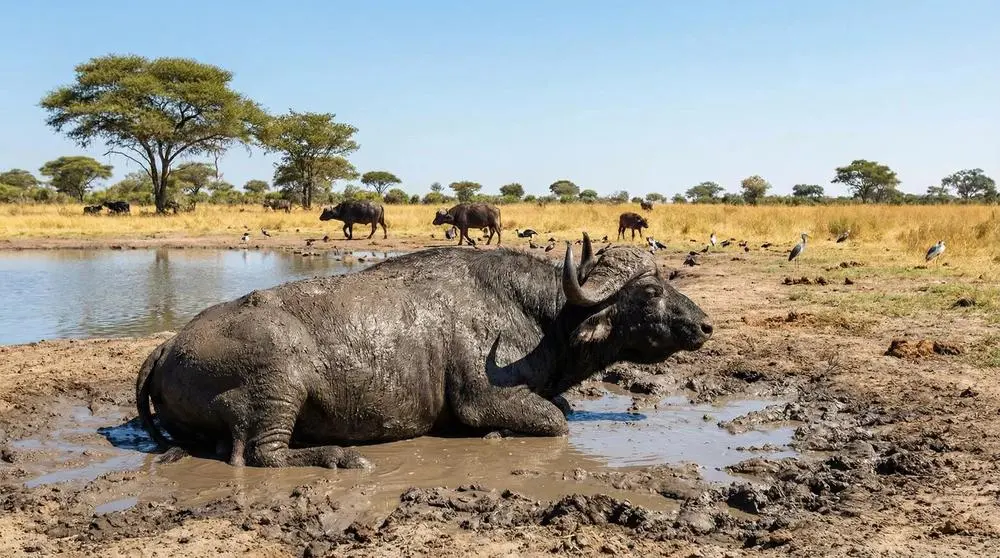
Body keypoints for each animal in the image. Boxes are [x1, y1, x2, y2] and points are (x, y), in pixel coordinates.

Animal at [136, 234, 711, 468]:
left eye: (664, 281)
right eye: (650, 292)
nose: (705, 325)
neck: (543, 316)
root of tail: (168, 346)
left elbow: (563, 406)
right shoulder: (483, 400)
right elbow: (555, 418)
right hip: (282, 383)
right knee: (260, 454)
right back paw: (339, 457)